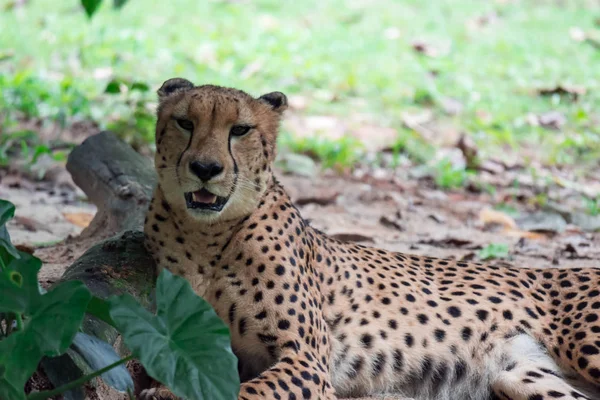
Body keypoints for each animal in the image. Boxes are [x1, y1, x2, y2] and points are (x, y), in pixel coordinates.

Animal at [143, 78, 600, 400]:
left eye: (240, 129)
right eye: (185, 123)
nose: (205, 168)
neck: (207, 236)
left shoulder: (307, 364)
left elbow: (242, 393)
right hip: (519, 377)